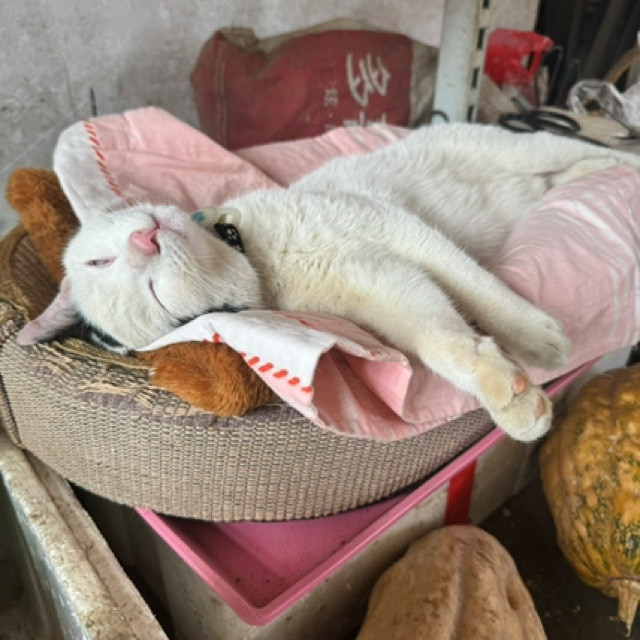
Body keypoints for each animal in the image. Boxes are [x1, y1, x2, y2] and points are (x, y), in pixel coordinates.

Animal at [17, 123, 640, 441]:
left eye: (99, 262)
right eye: (151, 291)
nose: (144, 238)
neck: (257, 258)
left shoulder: (398, 229)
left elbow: (481, 287)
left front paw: (535, 338)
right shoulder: (387, 285)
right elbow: (444, 342)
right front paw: (510, 393)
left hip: (516, 146)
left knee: (584, 150)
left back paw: (618, 164)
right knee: (562, 175)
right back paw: (584, 177)